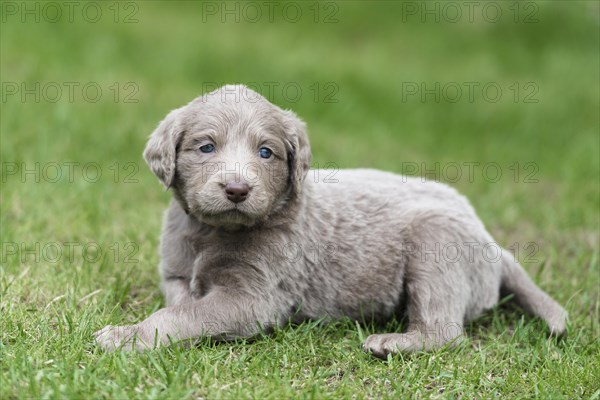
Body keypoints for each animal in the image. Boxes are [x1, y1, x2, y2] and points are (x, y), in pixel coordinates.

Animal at [94, 84, 568, 356]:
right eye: (206, 147)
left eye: (266, 152)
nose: (237, 189)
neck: (213, 232)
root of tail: (493, 244)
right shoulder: (176, 272)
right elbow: (181, 302)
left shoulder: (255, 297)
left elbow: (182, 316)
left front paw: (124, 338)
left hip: (438, 248)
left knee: (445, 331)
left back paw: (392, 343)